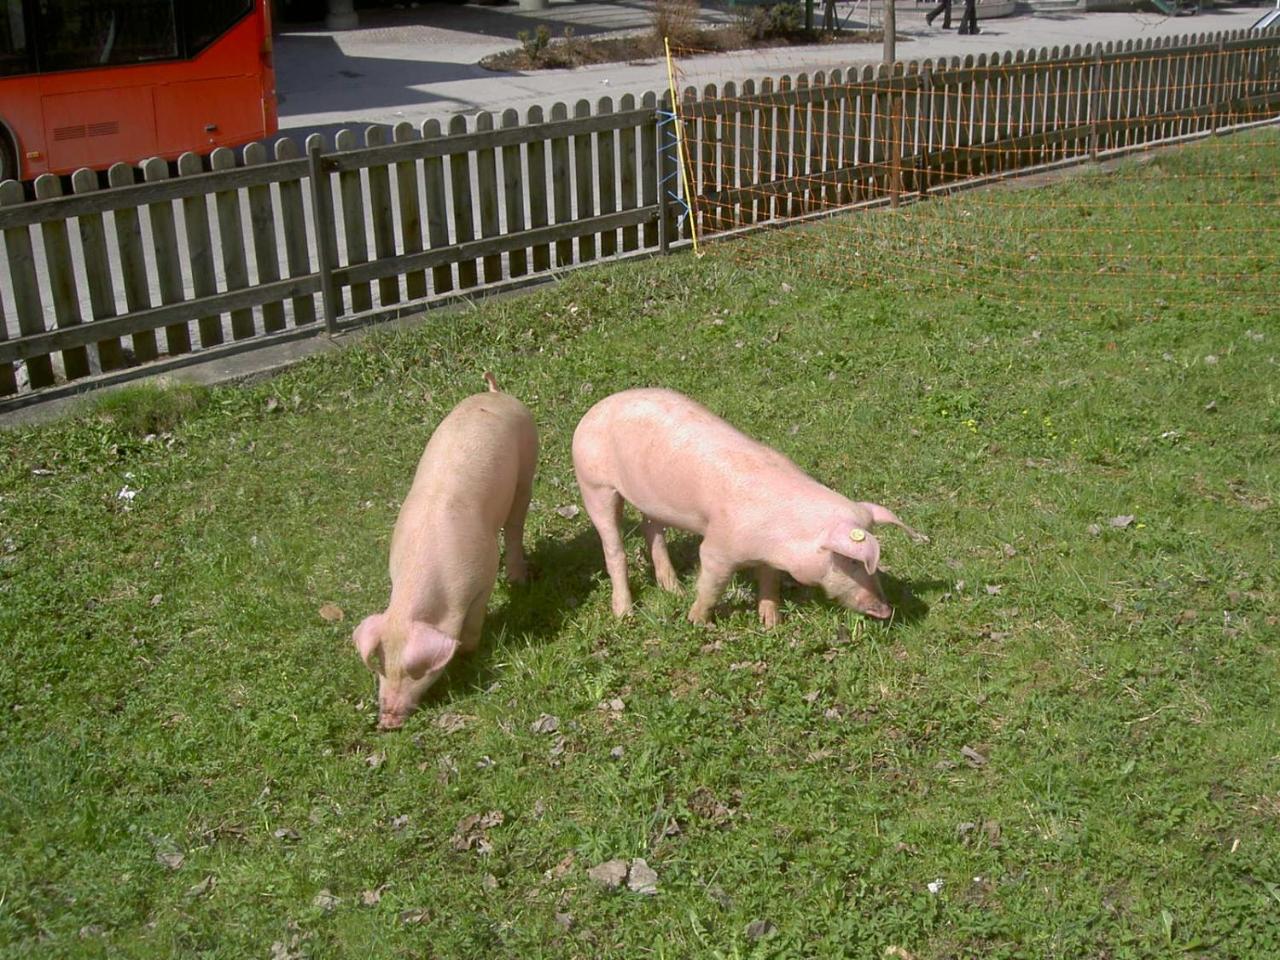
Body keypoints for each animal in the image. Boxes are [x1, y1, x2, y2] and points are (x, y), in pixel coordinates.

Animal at [350, 376, 535, 727]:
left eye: (416, 671)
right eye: (381, 665)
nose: (388, 722)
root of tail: (496, 394)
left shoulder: (482, 577)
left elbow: (474, 623)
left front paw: (468, 652)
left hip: (528, 462)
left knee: (516, 522)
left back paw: (519, 579)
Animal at [576, 386, 926, 627]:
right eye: (850, 561)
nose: (886, 609)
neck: (783, 536)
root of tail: (594, 409)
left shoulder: (769, 556)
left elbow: (769, 580)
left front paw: (771, 623)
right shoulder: (717, 547)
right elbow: (712, 585)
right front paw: (696, 621)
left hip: (650, 500)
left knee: (653, 532)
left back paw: (674, 591)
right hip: (594, 486)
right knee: (614, 549)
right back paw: (625, 614)